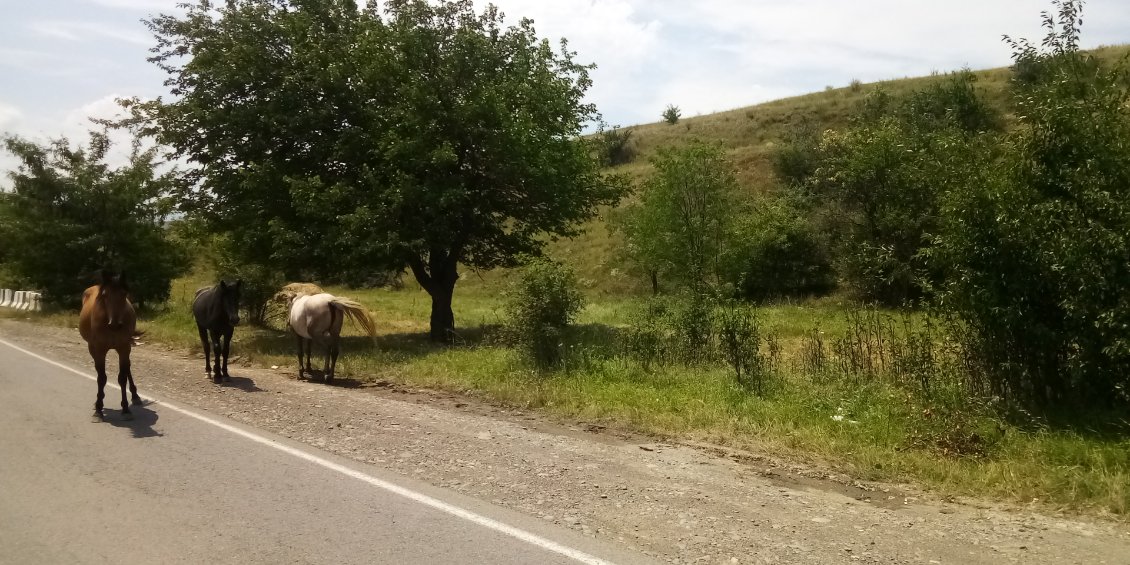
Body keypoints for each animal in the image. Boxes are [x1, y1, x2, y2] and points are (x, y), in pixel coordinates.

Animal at [77, 271, 140, 422]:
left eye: (124, 294)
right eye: (105, 295)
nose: (115, 324)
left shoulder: (124, 348)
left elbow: (122, 377)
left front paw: (126, 409)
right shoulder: (99, 350)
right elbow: (101, 378)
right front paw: (98, 409)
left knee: (128, 368)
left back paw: (135, 396)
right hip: (92, 348)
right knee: (99, 371)